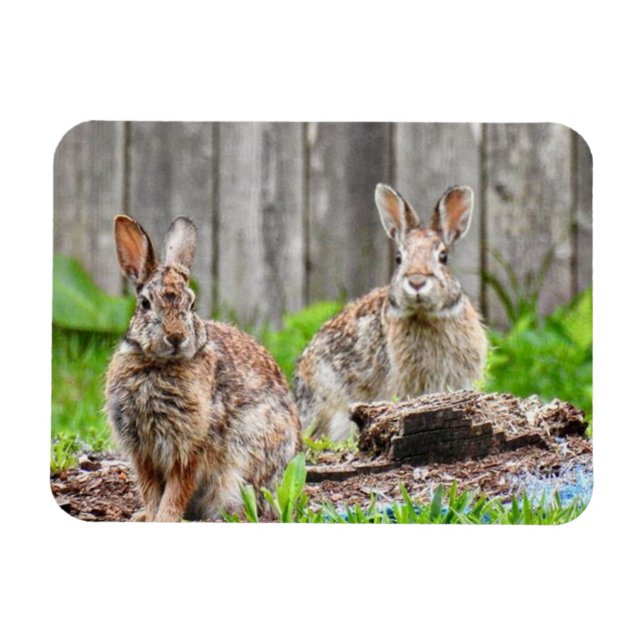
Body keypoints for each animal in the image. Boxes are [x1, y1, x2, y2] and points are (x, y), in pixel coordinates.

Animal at [105, 215, 301, 521]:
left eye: (192, 304)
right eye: (145, 304)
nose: (176, 337)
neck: (158, 364)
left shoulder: (191, 448)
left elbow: (177, 489)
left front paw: (165, 519)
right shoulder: (142, 452)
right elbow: (150, 490)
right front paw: (150, 517)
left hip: (240, 469)